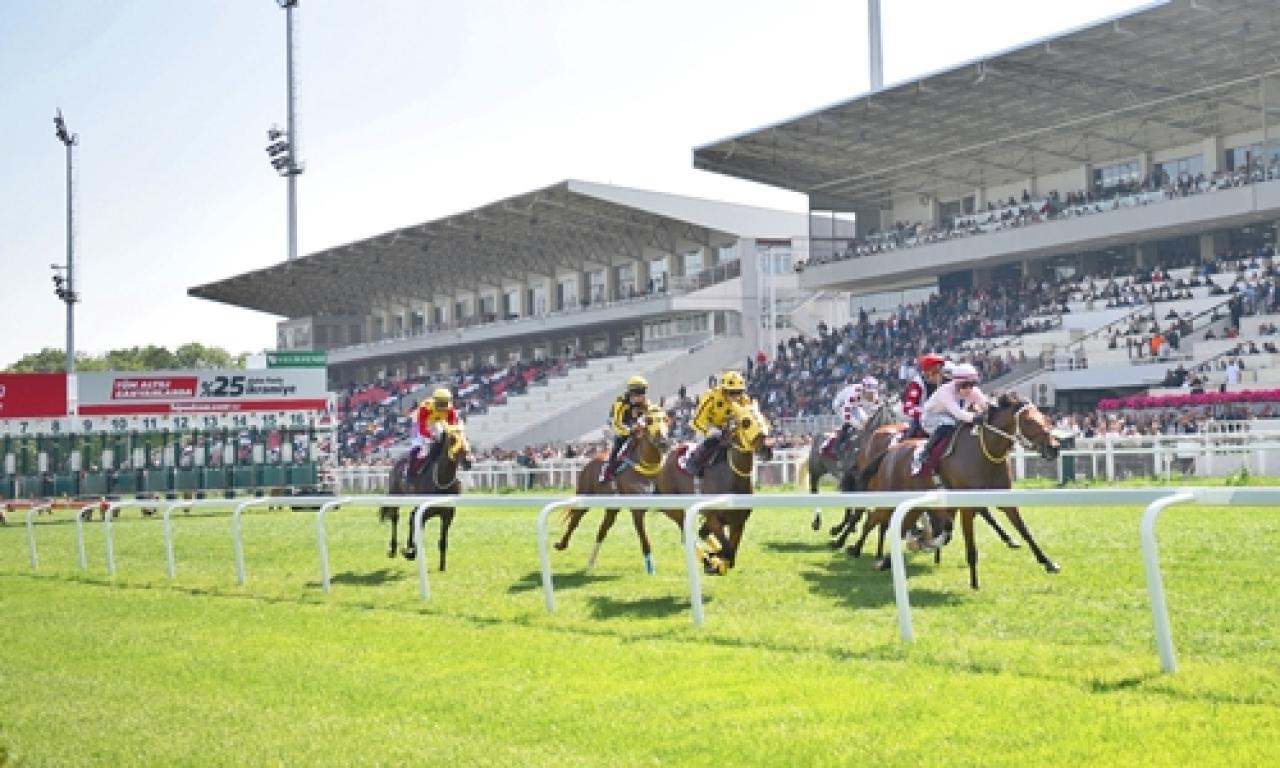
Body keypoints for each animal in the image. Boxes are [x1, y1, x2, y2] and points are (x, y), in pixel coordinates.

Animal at [384, 424, 476, 570]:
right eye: (453, 439)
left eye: (466, 438)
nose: (468, 461)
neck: (442, 481)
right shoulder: (425, 513)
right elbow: (417, 531)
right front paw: (410, 552)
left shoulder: (448, 515)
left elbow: (443, 542)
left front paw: (442, 567)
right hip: (395, 494)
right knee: (395, 517)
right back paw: (393, 549)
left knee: (410, 517)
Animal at [555, 404, 675, 573]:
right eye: (649, 420)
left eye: (666, 419)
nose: (664, 442)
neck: (647, 468)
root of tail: (591, 461)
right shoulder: (637, 510)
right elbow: (644, 538)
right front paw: (650, 568)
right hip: (586, 496)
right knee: (575, 520)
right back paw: (562, 545)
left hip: (612, 508)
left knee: (602, 530)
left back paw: (591, 563)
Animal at [655, 399, 773, 573]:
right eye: (746, 422)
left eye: (765, 419)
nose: (767, 448)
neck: (732, 479)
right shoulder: (712, 518)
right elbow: (727, 551)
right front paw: (713, 560)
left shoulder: (738, 522)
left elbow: (730, 554)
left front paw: (716, 560)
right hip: (675, 509)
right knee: (687, 535)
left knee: (700, 534)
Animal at [860, 394, 1059, 591]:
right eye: (1029, 421)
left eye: (1046, 418)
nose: (1054, 447)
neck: (985, 454)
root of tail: (890, 451)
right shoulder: (966, 506)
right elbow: (970, 545)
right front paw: (974, 583)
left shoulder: (1003, 500)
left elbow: (1025, 531)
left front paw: (1047, 561)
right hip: (889, 498)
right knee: (874, 520)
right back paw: (859, 550)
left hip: (913, 506)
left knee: (899, 528)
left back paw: (891, 556)